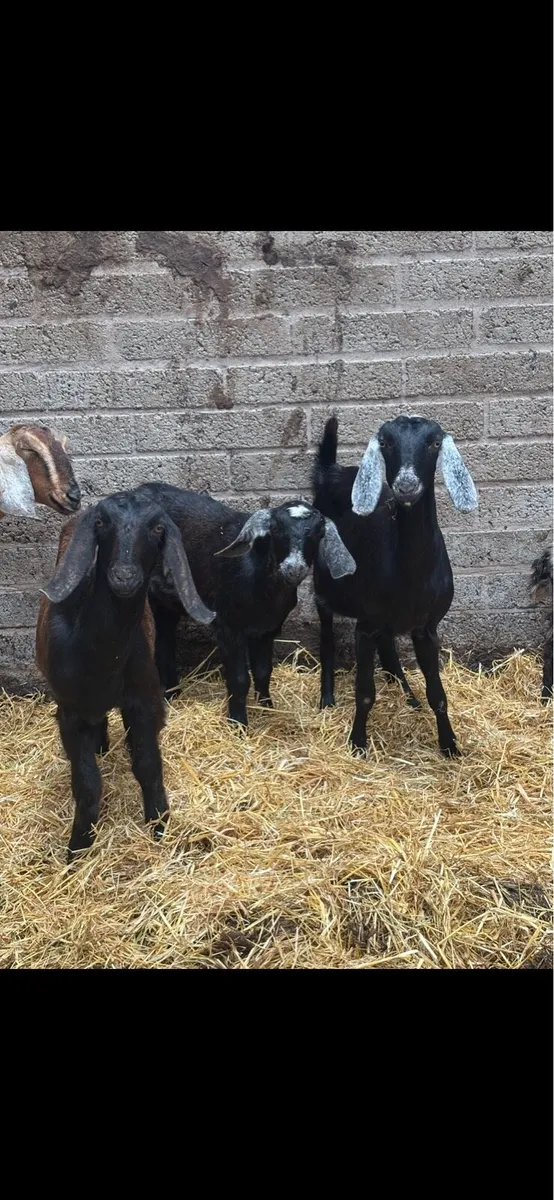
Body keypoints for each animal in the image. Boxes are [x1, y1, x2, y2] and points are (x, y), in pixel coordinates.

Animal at [36, 490, 215, 860]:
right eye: (102, 523)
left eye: (157, 527)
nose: (124, 577)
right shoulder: (70, 712)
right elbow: (87, 783)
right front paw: (77, 849)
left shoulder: (143, 701)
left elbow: (148, 766)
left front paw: (160, 827)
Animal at [133, 484, 356, 729]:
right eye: (276, 529)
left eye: (318, 533)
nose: (294, 568)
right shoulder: (228, 625)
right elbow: (239, 678)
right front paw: (238, 723)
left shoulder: (267, 629)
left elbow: (263, 671)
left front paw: (266, 707)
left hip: (167, 601)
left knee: (165, 639)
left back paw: (172, 694)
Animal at [313, 415, 478, 757]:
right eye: (385, 442)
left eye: (435, 442)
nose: (406, 485)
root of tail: (331, 472)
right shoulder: (365, 624)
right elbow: (364, 692)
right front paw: (357, 744)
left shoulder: (426, 627)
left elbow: (438, 695)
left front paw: (450, 746)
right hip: (324, 584)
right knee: (327, 635)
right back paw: (327, 699)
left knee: (387, 646)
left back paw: (408, 695)